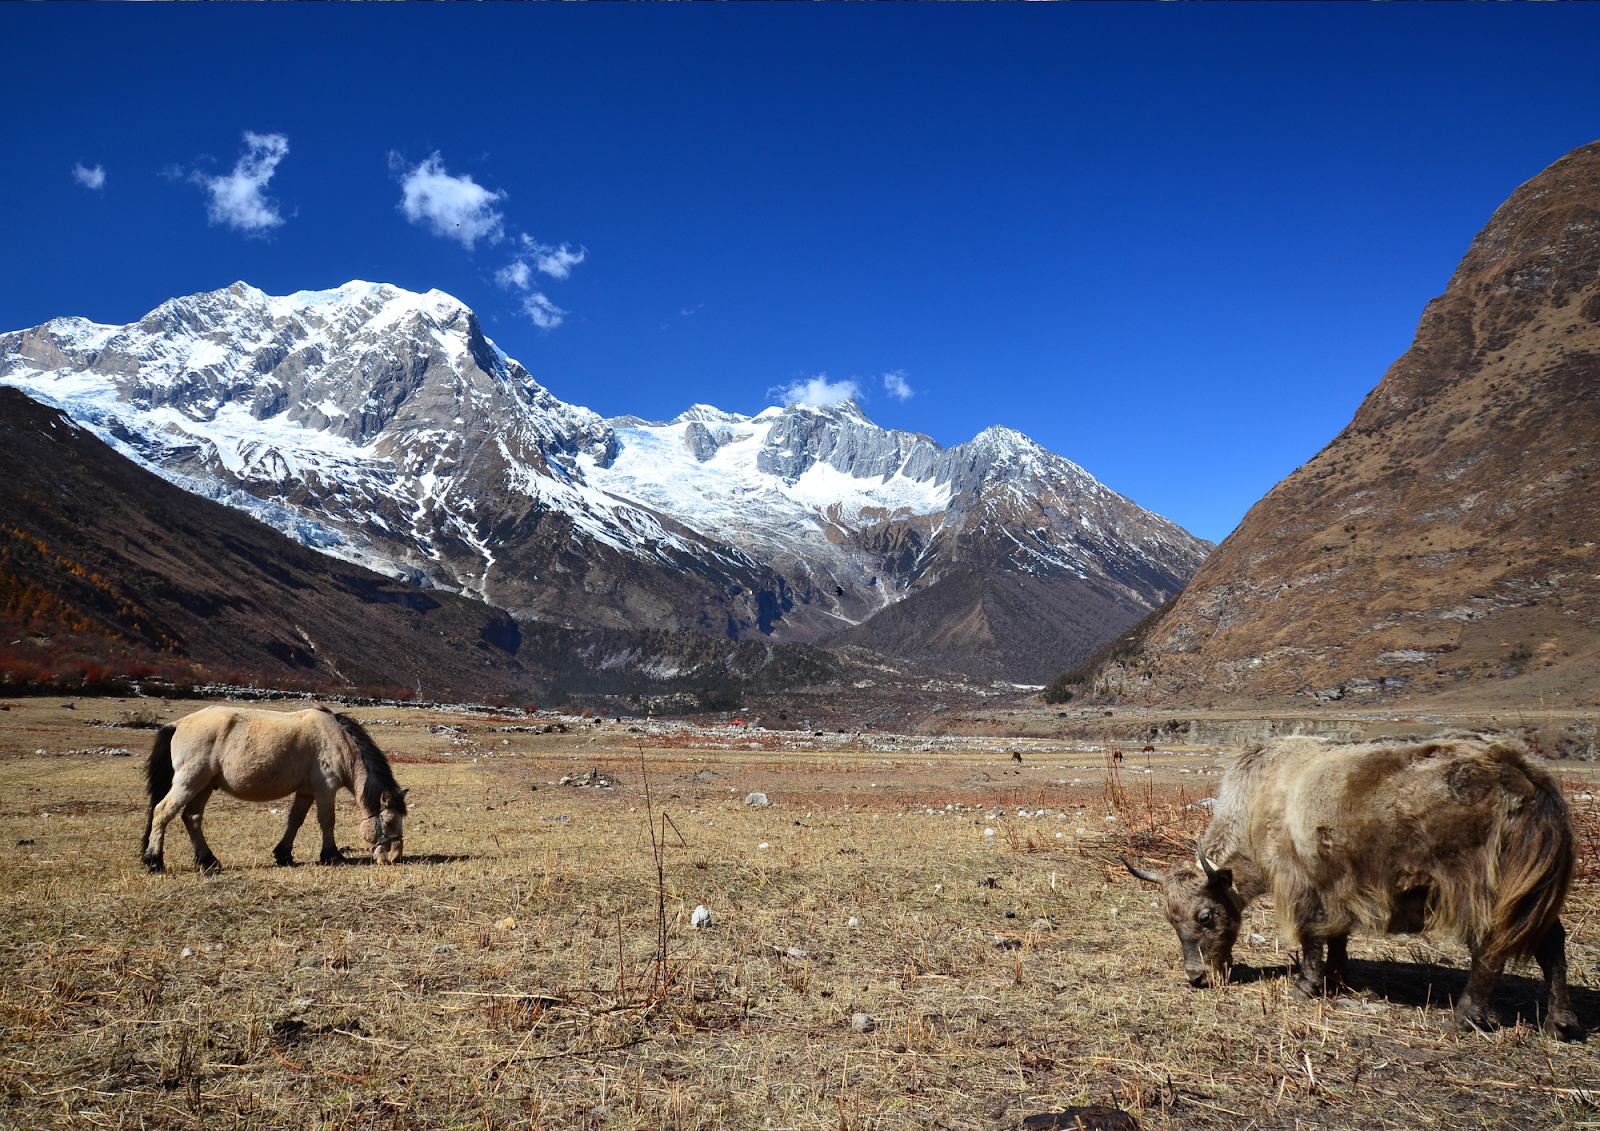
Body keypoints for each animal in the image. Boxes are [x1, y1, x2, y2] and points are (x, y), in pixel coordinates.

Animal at [137, 707, 406, 876]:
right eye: (389, 822)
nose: (394, 858)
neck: (337, 740)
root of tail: (177, 724)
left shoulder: (306, 792)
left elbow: (295, 820)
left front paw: (284, 855)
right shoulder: (325, 789)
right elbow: (327, 820)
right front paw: (332, 856)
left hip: (203, 785)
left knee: (191, 818)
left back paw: (208, 860)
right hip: (189, 782)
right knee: (162, 812)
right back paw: (155, 861)